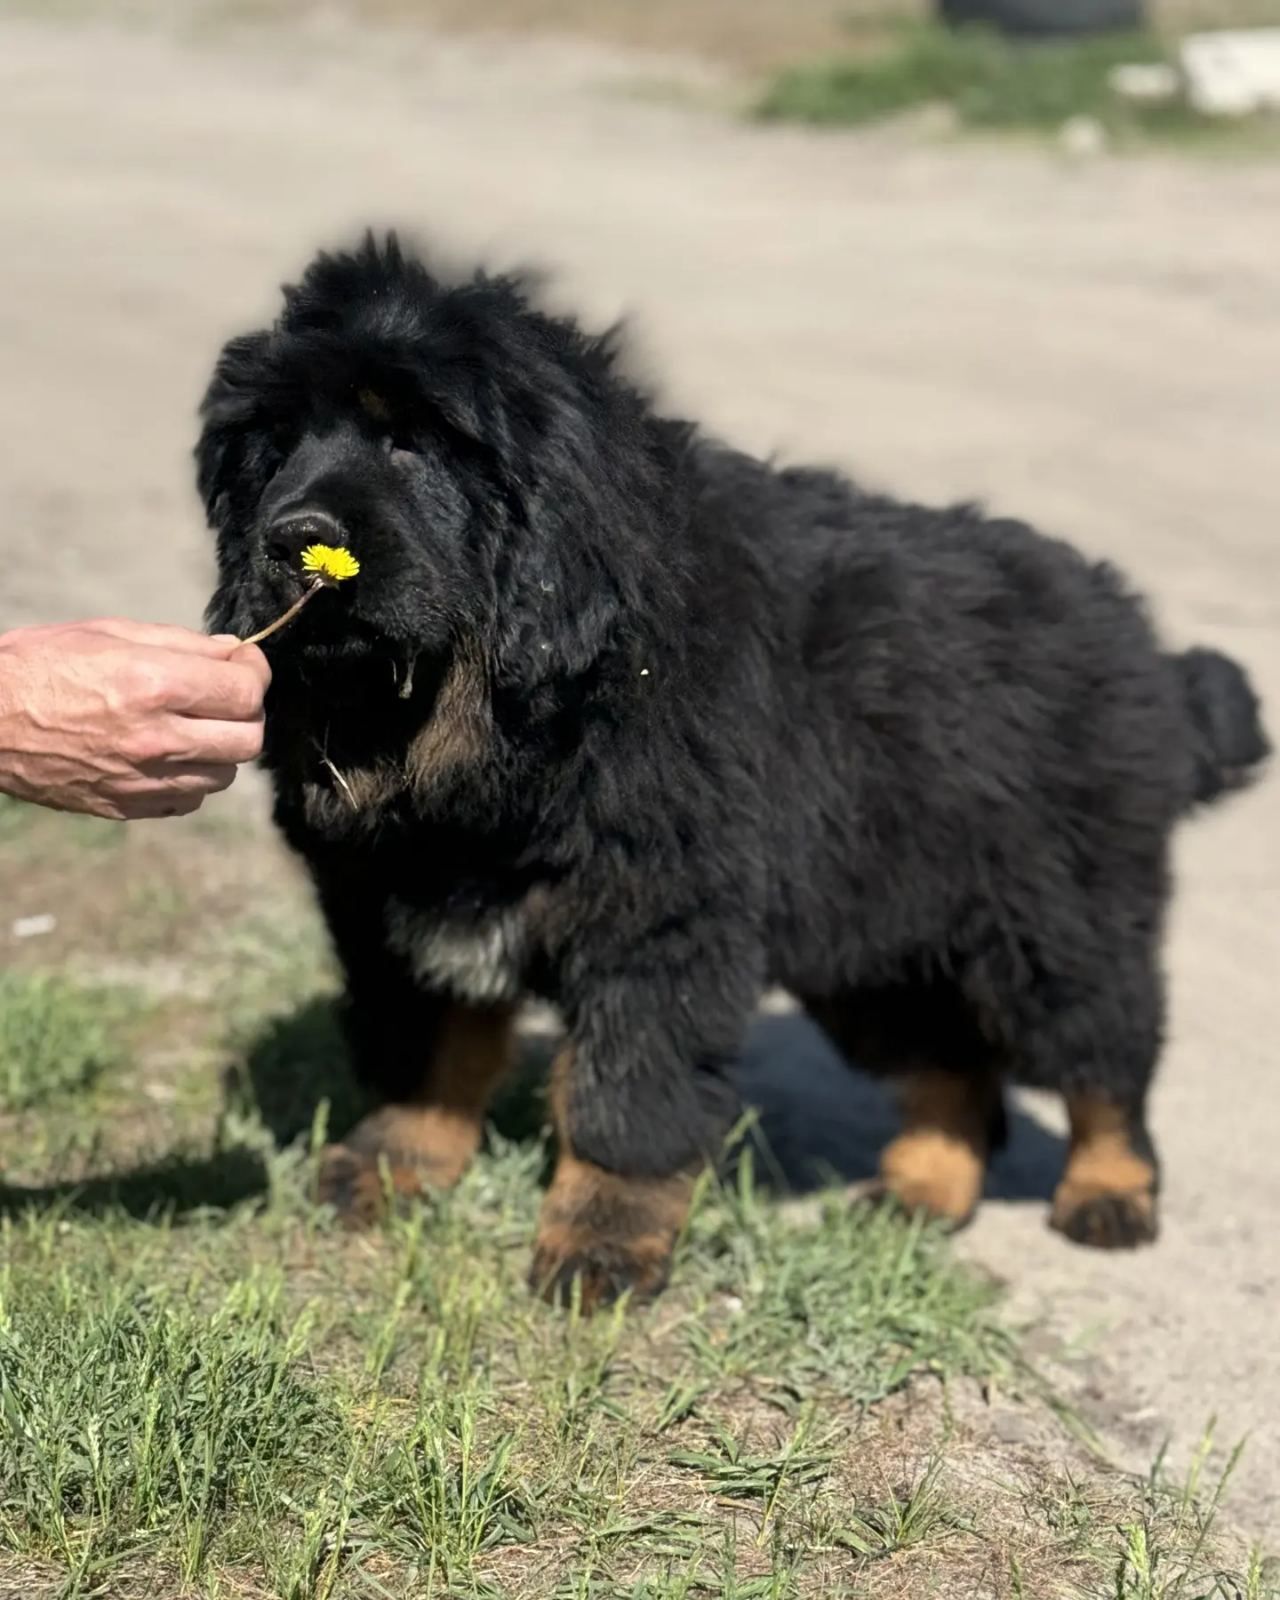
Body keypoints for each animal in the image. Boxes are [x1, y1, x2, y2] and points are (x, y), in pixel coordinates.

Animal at [200, 236, 1267, 1305]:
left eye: (408, 442)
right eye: (273, 446)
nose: (291, 539)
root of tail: (1150, 652)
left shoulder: (656, 916)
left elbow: (628, 1092)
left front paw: (599, 1245)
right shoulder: (395, 900)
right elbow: (426, 1045)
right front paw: (393, 1165)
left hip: (1055, 919)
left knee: (1106, 1055)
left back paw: (1109, 1193)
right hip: (874, 938)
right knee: (955, 1066)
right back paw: (918, 1192)